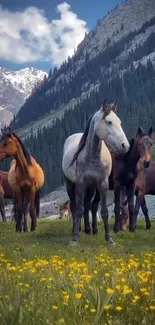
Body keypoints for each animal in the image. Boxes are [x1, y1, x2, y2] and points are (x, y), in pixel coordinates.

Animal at [62, 98, 130, 243]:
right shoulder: (81, 183)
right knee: (74, 206)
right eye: (109, 122)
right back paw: (76, 229)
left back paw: (88, 229)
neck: (92, 156)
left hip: (91, 187)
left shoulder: (102, 183)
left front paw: (109, 239)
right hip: (70, 185)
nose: (125, 146)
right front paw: (75, 238)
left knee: (88, 205)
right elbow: (79, 209)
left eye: (119, 122)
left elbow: (103, 210)